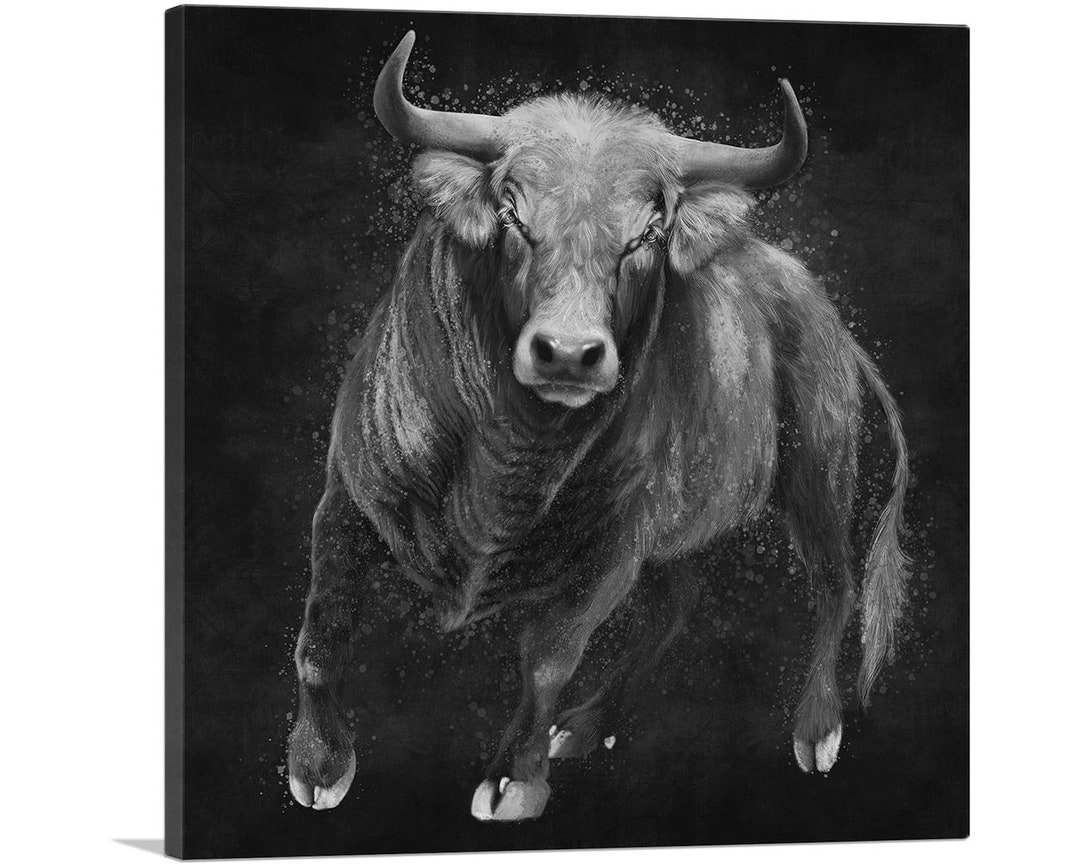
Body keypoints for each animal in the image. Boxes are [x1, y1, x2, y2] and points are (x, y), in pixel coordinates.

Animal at [286, 31, 910, 822]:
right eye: (513, 213)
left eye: (648, 232)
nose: (569, 353)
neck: (507, 458)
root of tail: (820, 311)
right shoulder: (346, 500)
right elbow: (321, 634)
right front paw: (317, 763)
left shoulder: (614, 544)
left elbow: (549, 657)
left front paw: (515, 779)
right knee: (675, 606)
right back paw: (589, 725)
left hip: (819, 478)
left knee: (833, 586)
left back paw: (816, 728)